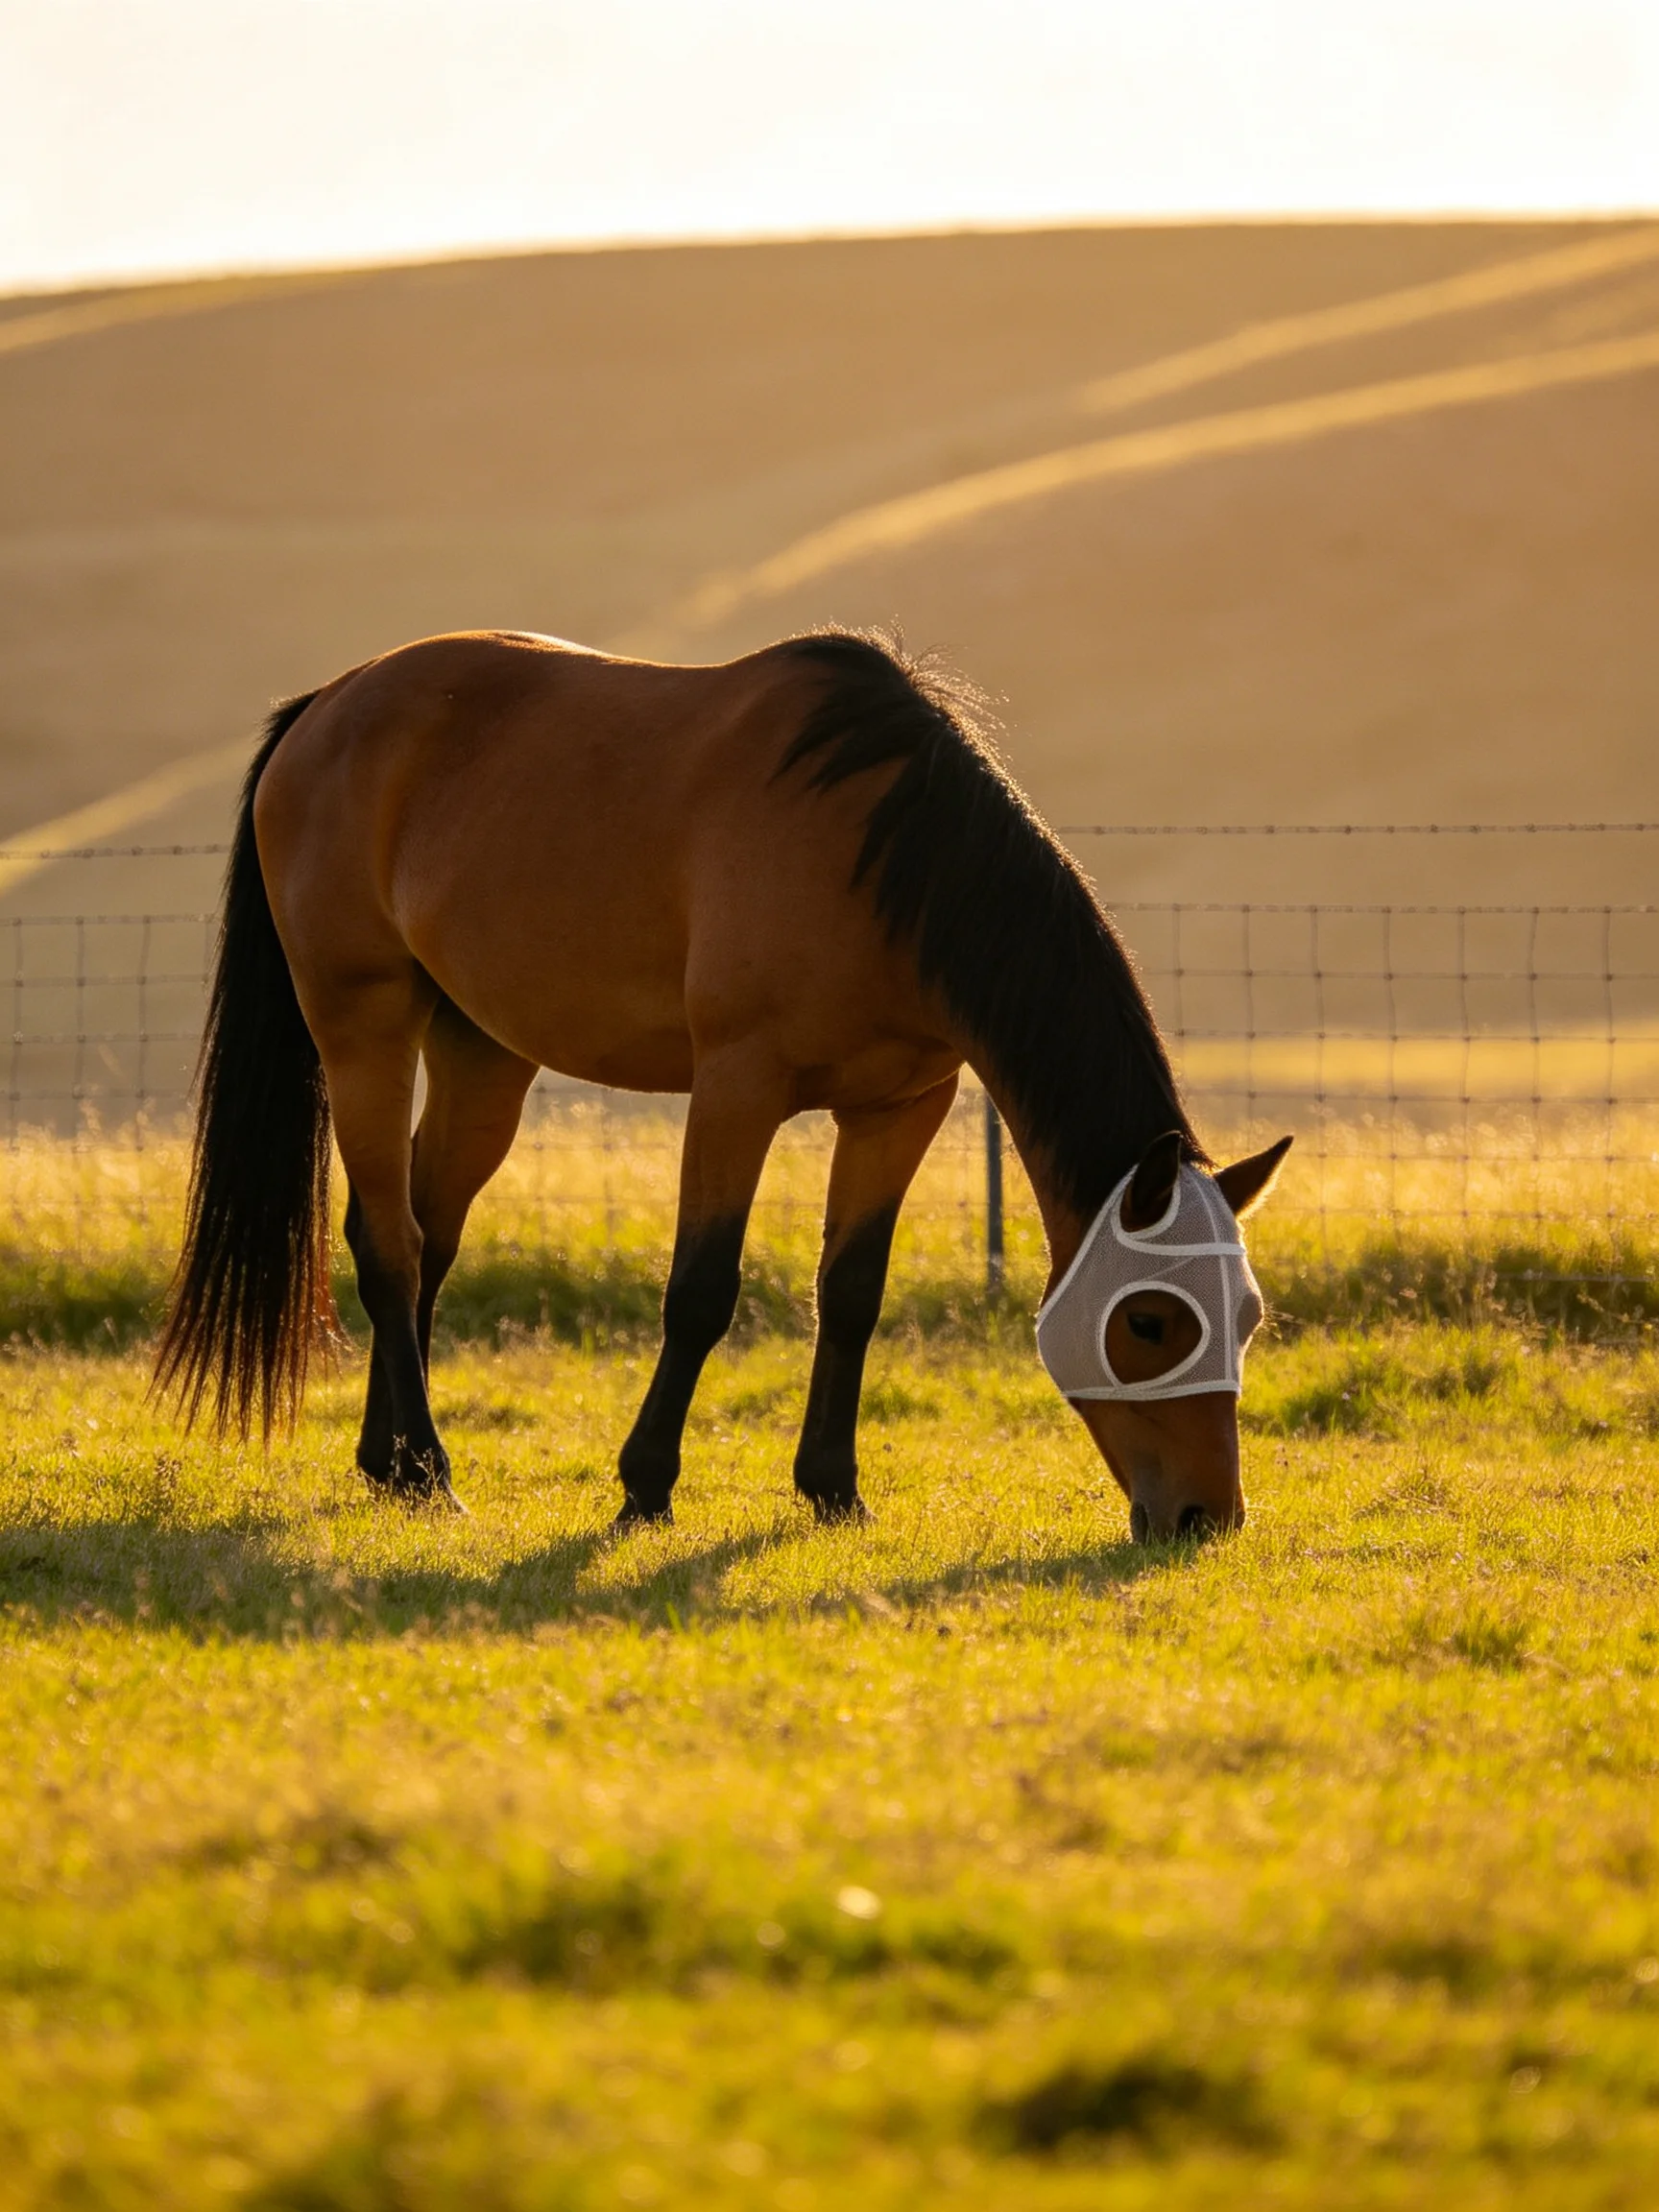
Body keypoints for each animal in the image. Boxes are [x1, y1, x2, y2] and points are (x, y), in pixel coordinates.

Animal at [156, 628, 1290, 1541]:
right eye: (1150, 1321)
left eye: (1246, 1316)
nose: (1206, 1517)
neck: (882, 857)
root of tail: (327, 707)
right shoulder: (737, 1089)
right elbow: (701, 1291)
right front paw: (645, 1488)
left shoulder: (898, 1110)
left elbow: (851, 1293)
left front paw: (833, 1489)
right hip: (365, 1028)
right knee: (388, 1242)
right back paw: (431, 1471)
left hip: (481, 1053)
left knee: (428, 1236)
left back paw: (387, 1462)